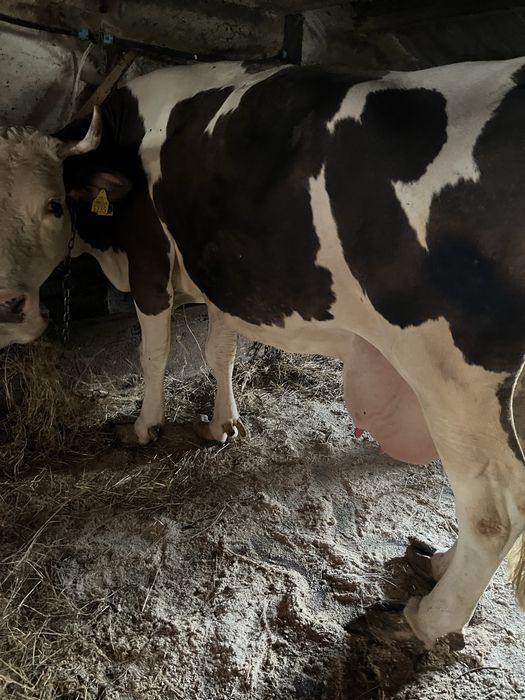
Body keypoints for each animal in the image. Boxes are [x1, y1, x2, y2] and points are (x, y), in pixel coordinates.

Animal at [1, 57, 525, 649]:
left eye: (53, 205)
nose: (9, 306)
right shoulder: (222, 275)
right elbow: (219, 351)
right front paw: (221, 424)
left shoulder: (149, 263)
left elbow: (153, 354)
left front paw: (144, 427)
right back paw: (437, 564)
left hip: (452, 373)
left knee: (495, 506)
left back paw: (428, 618)